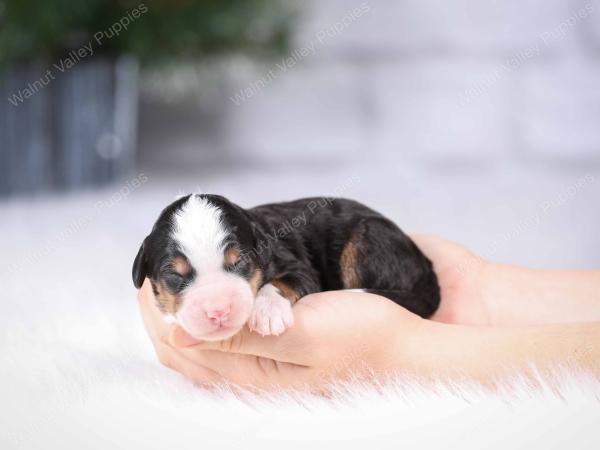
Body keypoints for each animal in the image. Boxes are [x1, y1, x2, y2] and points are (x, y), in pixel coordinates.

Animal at [132, 194, 440, 342]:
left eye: (239, 262)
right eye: (175, 275)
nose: (218, 311)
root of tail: (425, 265)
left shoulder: (298, 266)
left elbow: (278, 283)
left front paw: (267, 312)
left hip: (368, 237)